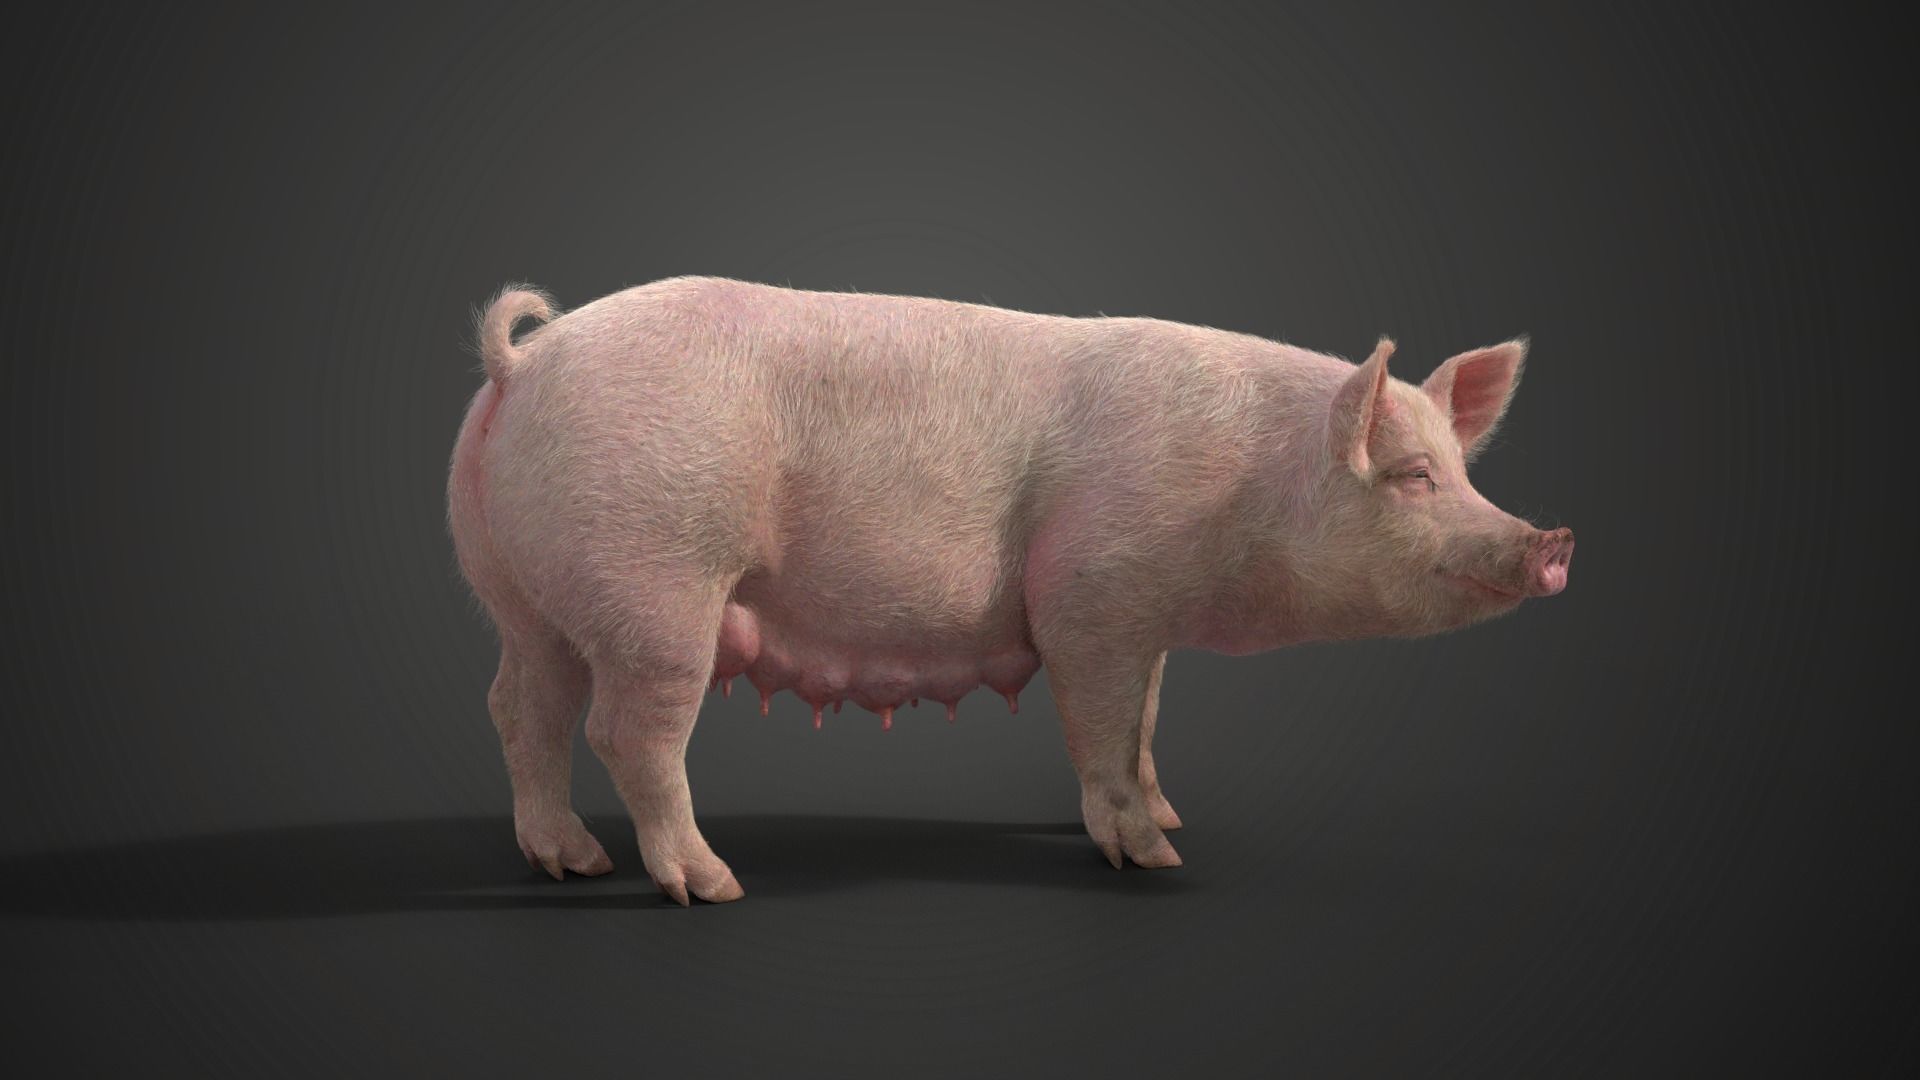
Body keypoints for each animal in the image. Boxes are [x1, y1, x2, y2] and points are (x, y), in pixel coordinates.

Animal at [446, 275, 1574, 905]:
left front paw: (1173, 820)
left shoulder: (1146, 619)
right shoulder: (1092, 593)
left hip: (521, 593)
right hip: (657, 579)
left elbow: (1147, 718)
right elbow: (1102, 724)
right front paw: (1154, 861)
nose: (1554, 540)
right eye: (1414, 477)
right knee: (629, 733)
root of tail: (522, 364)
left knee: (519, 708)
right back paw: (710, 887)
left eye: (1462, 469)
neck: (1249, 485)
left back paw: (569, 864)